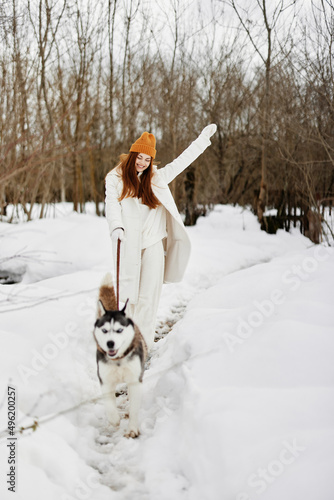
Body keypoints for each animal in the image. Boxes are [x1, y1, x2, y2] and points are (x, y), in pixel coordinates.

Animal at [93, 274, 147, 438]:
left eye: (119, 330)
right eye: (104, 330)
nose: (110, 343)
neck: (118, 360)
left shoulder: (134, 381)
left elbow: (134, 408)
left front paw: (132, 429)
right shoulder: (105, 381)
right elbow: (110, 406)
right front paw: (115, 420)